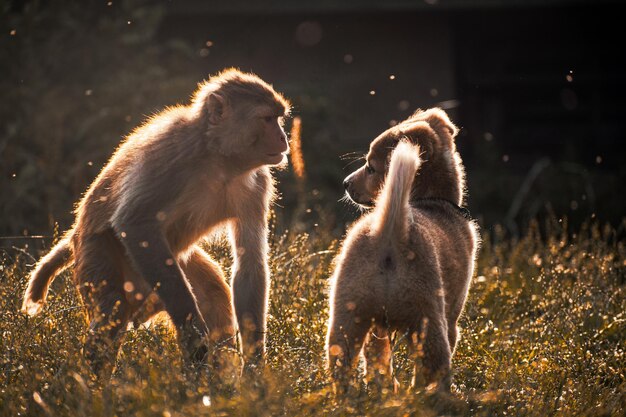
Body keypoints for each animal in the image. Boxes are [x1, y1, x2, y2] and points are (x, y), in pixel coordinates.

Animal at [21, 67, 290, 380]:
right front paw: (193, 332)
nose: (284, 138)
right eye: (267, 119)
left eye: (278, 118)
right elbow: (134, 223)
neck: (218, 159)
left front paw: (254, 368)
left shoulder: (257, 184)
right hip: (96, 250)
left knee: (212, 292)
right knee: (112, 310)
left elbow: (250, 264)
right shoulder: (170, 155)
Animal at [326, 107, 478, 390]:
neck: (430, 201)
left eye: (371, 168)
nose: (345, 183)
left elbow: (378, 359)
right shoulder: (452, 316)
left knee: (342, 366)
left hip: (348, 315)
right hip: (428, 319)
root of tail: (390, 233)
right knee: (433, 372)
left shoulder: (377, 329)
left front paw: (386, 386)